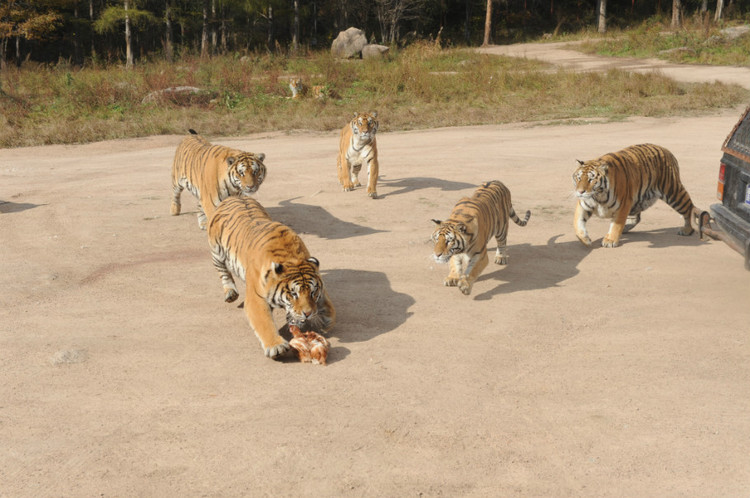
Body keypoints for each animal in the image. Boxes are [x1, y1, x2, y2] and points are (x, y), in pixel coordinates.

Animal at [206, 196, 334, 360]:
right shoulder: (256, 298)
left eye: (312, 292)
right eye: (294, 294)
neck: (291, 258)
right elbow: (264, 322)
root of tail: (235, 196)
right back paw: (230, 292)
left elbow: (328, 304)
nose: (308, 314)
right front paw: (276, 346)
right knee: (223, 271)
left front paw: (327, 320)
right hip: (216, 251)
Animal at [572, 142, 704, 247]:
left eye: (591, 179)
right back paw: (625, 229)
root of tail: (667, 151)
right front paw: (585, 240)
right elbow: (577, 223)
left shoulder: (623, 205)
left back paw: (686, 230)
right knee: (635, 217)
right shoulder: (584, 205)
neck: (598, 196)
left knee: (689, 208)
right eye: (578, 178)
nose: (580, 191)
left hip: (673, 192)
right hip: (639, 199)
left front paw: (610, 240)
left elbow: (616, 224)